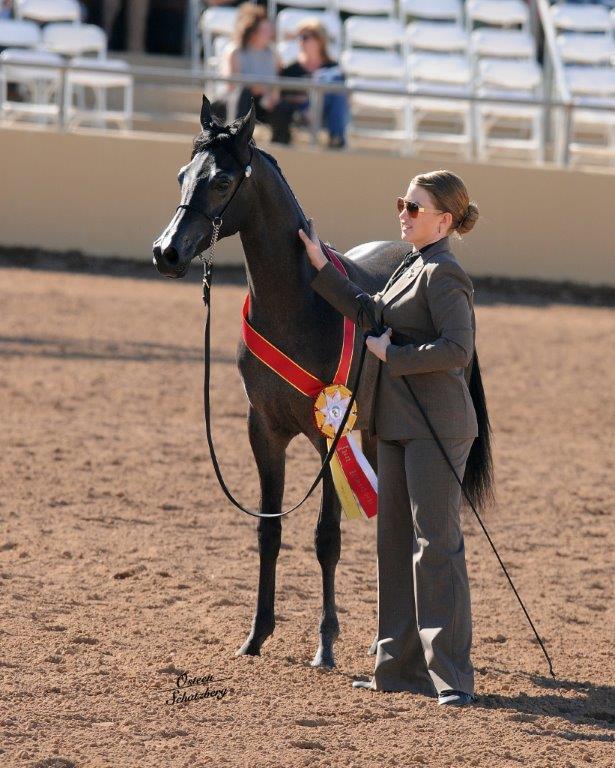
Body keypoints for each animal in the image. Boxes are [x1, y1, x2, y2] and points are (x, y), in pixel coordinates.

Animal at [152, 96, 493, 669]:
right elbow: (269, 528)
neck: (300, 307)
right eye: (181, 174)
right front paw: (256, 635)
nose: (166, 253)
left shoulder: (329, 435)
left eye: (222, 180)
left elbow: (325, 538)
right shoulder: (264, 432)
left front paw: (326, 643)